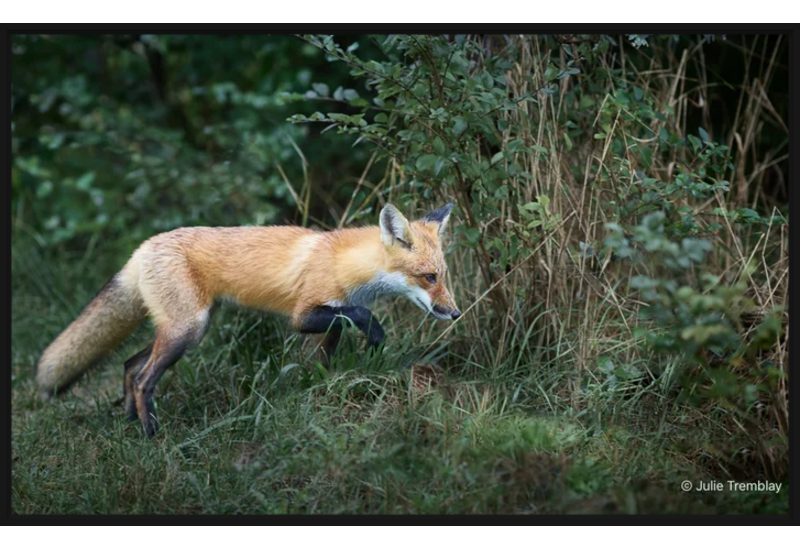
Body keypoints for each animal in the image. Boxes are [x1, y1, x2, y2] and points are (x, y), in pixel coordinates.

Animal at [35, 202, 461, 437]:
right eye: (429, 277)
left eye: (443, 275)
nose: (455, 313)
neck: (345, 265)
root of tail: (143, 247)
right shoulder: (303, 314)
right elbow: (356, 316)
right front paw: (374, 334)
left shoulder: (328, 315)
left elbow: (332, 344)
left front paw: (324, 387)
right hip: (188, 329)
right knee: (142, 379)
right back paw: (152, 434)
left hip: (184, 328)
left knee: (128, 365)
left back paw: (130, 425)